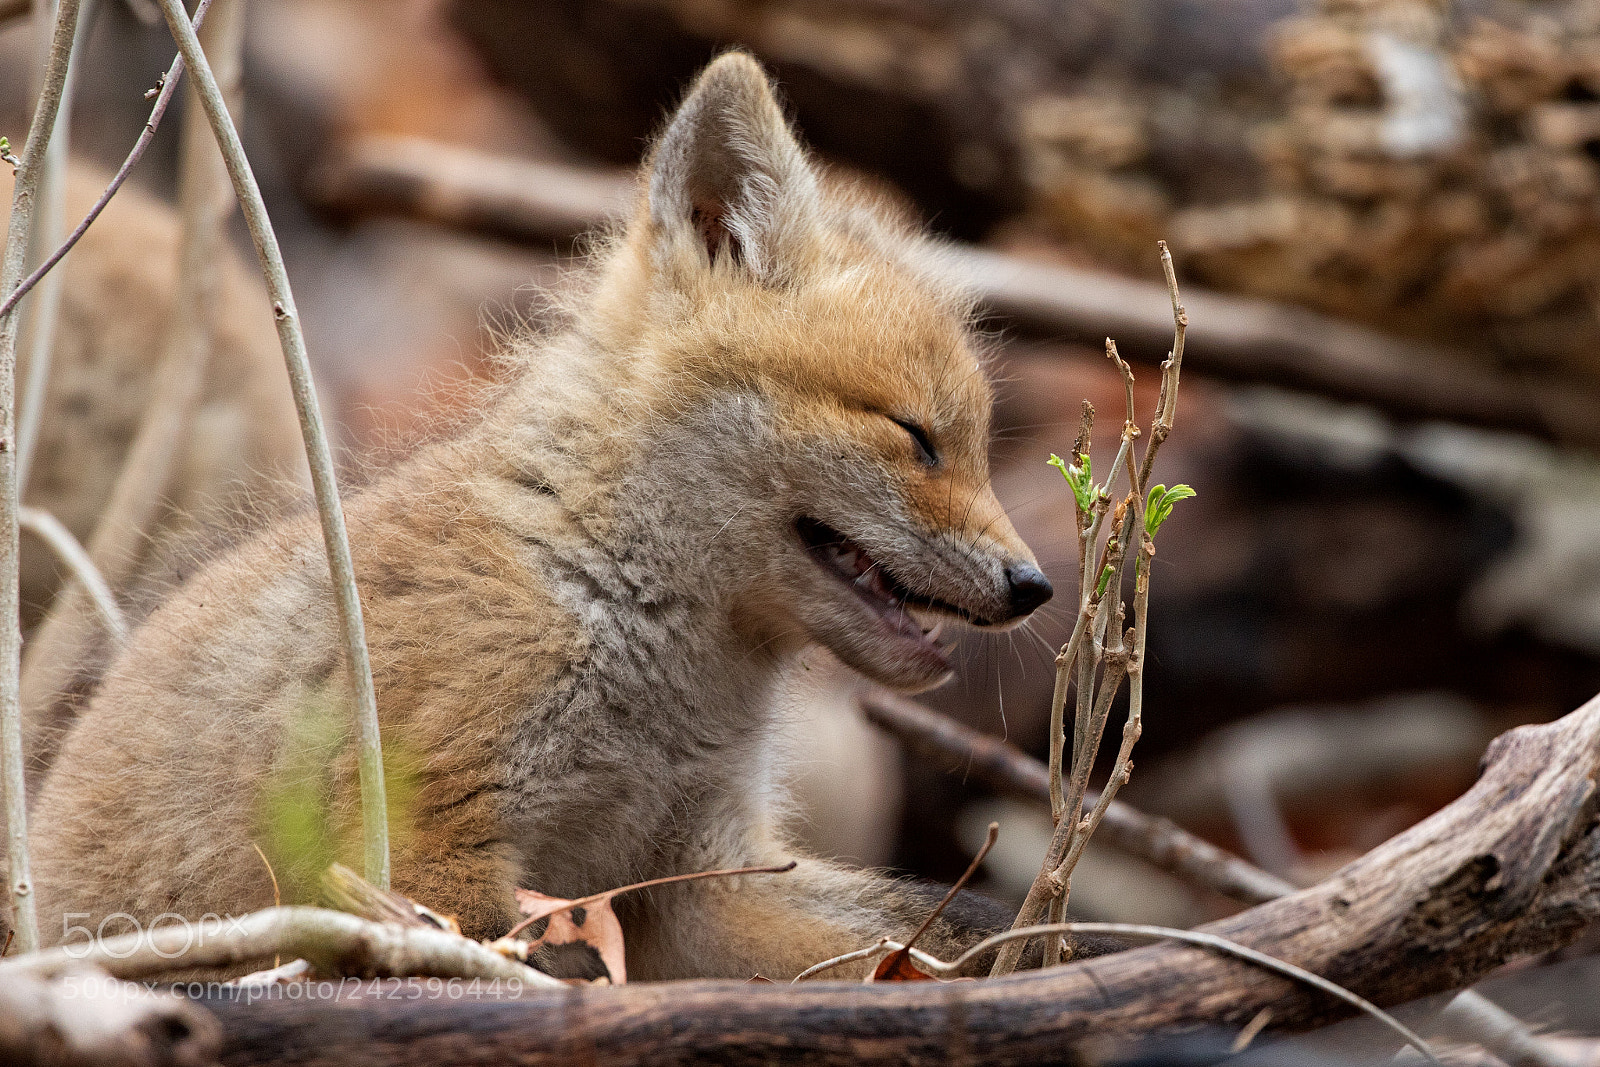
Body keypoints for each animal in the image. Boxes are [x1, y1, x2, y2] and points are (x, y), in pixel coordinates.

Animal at [11, 53, 1058, 980]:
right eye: (916, 436)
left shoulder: (697, 878)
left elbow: (920, 940)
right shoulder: (423, 848)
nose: (1034, 586)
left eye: (974, 443)